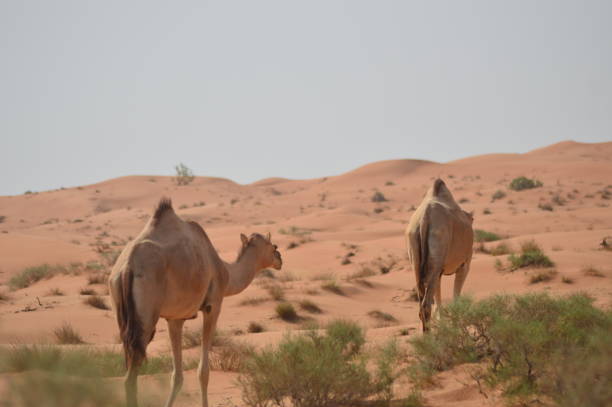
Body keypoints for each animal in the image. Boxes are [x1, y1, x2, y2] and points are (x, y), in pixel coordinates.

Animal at [109, 198, 284, 407]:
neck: (226, 272)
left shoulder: (175, 318)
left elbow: (177, 375)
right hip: (146, 312)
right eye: (274, 246)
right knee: (132, 370)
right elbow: (203, 372)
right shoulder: (213, 306)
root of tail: (128, 267)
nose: (280, 259)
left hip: (120, 307)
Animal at [406, 180, 474, 334]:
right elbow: (456, 299)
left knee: (422, 303)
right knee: (426, 305)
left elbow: (439, 301)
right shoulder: (464, 265)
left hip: (416, 258)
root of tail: (424, 218)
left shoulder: (439, 271)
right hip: (439, 244)